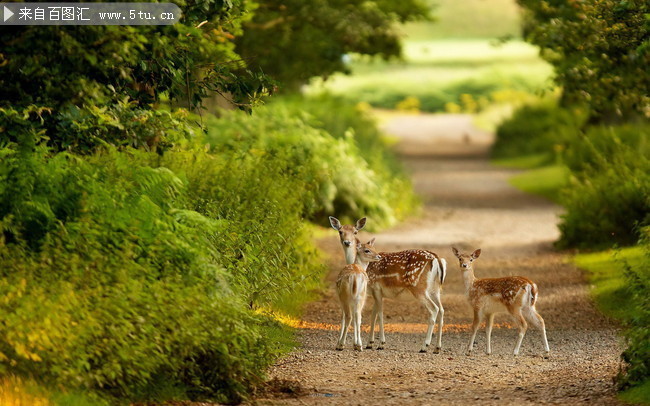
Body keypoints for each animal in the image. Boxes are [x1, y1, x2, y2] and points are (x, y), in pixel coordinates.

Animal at [330, 216, 446, 352]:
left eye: (355, 232)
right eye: (340, 231)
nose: (347, 242)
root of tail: (437, 259)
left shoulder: (376, 288)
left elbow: (379, 314)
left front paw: (381, 343)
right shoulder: (375, 292)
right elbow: (373, 315)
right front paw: (370, 343)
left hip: (418, 287)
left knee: (434, 309)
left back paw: (424, 346)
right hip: (435, 289)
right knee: (442, 310)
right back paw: (437, 347)